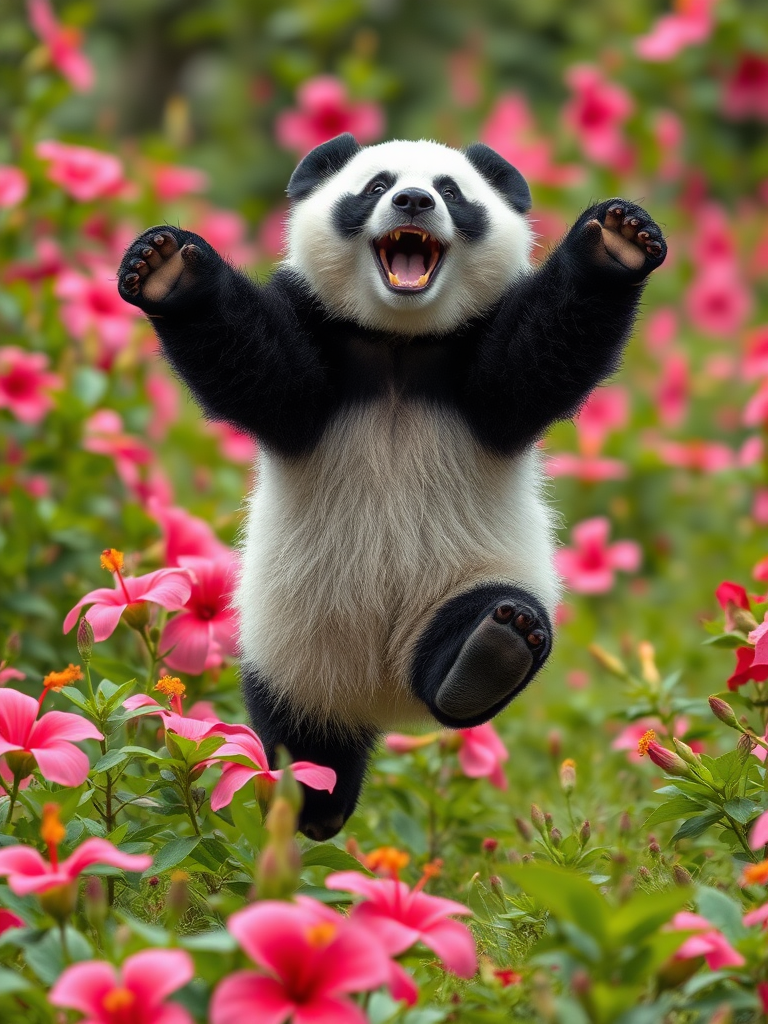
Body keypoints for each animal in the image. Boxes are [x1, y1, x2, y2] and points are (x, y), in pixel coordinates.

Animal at [118, 132, 667, 839]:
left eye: (451, 191)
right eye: (377, 186)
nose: (412, 200)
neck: (399, 342)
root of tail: (383, 697)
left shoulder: (476, 355)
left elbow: (537, 360)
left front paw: (615, 241)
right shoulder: (320, 338)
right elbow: (261, 369)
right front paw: (168, 268)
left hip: (462, 575)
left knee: (478, 627)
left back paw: (489, 654)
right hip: (289, 647)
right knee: (301, 735)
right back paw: (315, 804)